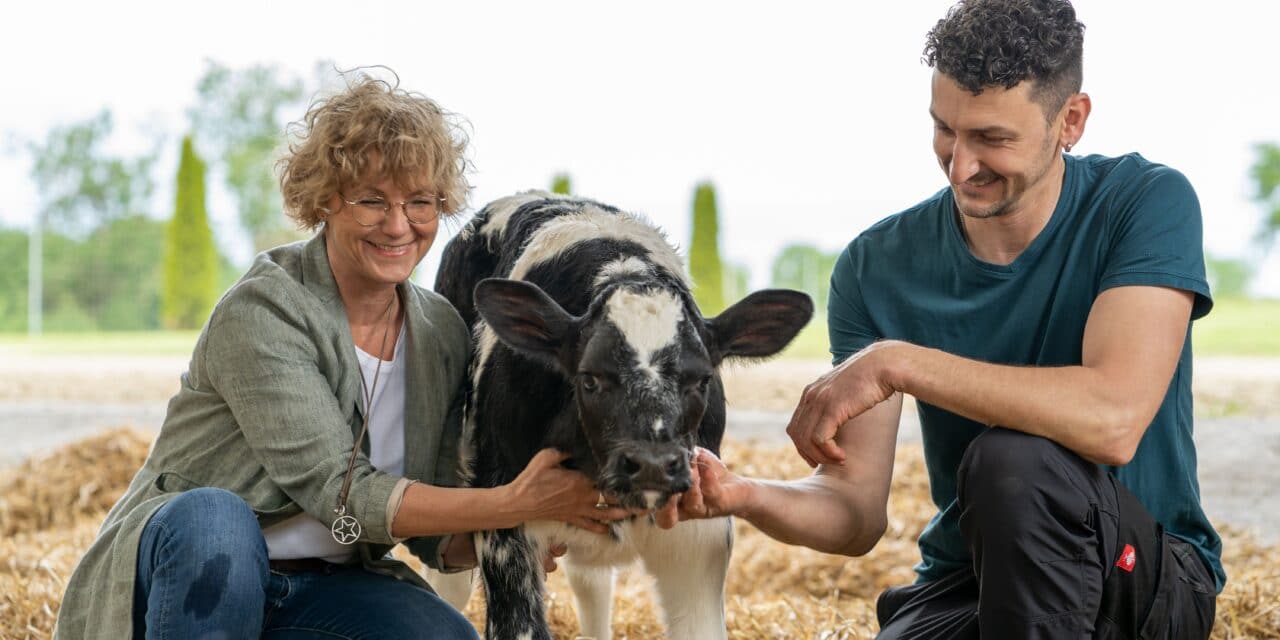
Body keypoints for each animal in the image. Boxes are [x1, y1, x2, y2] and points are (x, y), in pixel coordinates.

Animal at [430, 192, 808, 640]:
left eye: (702, 380)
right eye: (590, 378)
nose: (652, 465)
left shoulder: (699, 539)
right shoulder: (504, 525)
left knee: (591, 582)